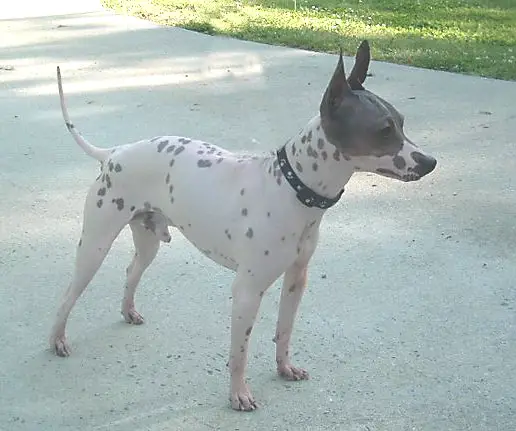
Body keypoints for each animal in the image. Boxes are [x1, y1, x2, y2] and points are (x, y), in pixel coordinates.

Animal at [50, 39, 436, 412]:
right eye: (383, 130)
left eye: (402, 122)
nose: (430, 162)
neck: (292, 188)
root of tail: (114, 152)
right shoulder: (247, 292)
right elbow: (239, 353)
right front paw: (239, 395)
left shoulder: (296, 280)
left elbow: (284, 330)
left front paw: (284, 368)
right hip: (95, 245)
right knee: (67, 295)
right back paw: (57, 339)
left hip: (148, 241)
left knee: (132, 271)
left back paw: (128, 311)